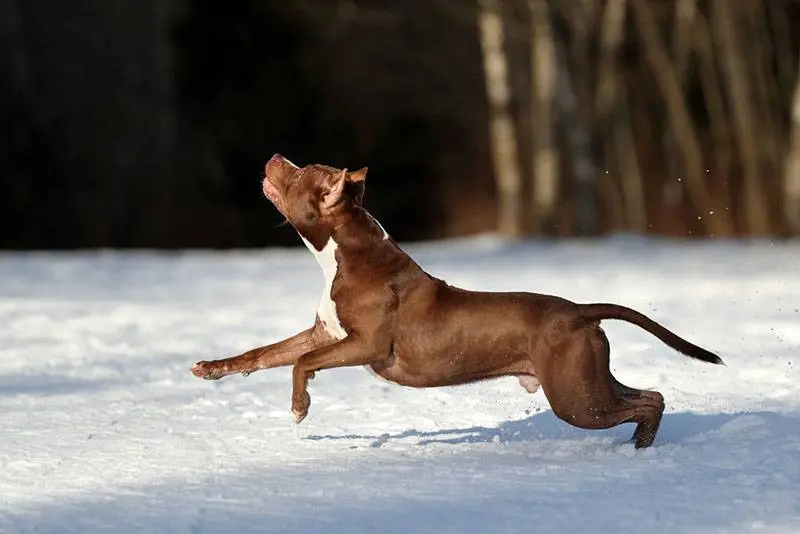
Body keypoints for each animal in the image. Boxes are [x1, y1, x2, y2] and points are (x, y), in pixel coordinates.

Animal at [191, 156, 720, 452]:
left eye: (300, 171)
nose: (276, 155)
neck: (344, 252)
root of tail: (579, 309)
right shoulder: (325, 333)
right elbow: (266, 354)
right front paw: (213, 369)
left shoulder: (365, 345)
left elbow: (302, 363)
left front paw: (299, 408)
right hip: (588, 380)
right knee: (650, 397)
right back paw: (638, 446)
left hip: (575, 397)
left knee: (646, 402)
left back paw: (639, 447)